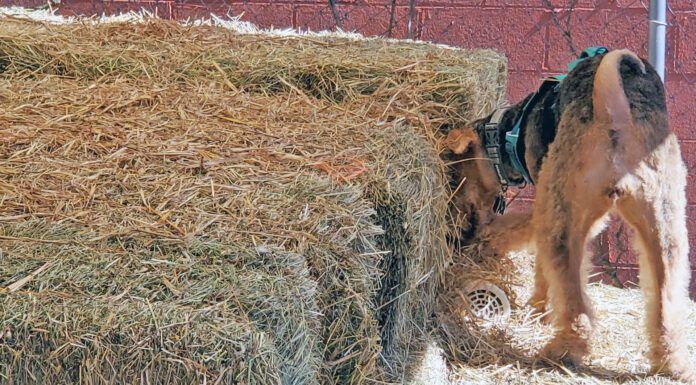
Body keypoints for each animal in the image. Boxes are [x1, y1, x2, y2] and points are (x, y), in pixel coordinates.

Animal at [444, 48, 692, 380]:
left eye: (456, 174)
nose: (464, 230)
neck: (510, 133)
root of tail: (615, 113)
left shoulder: (545, 200)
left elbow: (531, 251)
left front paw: (537, 309)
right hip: (664, 223)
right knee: (666, 301)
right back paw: (672, 363)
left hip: (562, 214)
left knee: (575, 303)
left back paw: (561, 351)